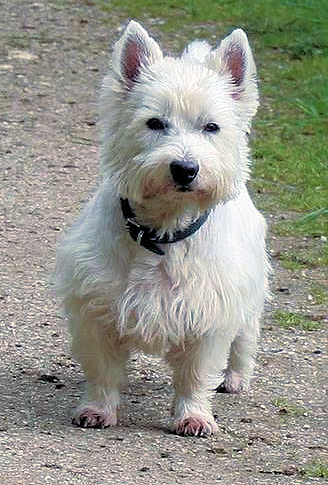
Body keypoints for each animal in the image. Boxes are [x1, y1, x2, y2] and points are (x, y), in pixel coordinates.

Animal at [56, 20, 270, 434]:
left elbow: (195, 374)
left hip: (250, 295)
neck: (163, 231)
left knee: (244, 338)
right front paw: (97, 410)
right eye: (154, 122)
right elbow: (103, 371)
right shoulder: (95, 310)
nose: (185, 169)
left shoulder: (209, 315)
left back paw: (236, 378)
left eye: (212, 127)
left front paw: (193, 415)